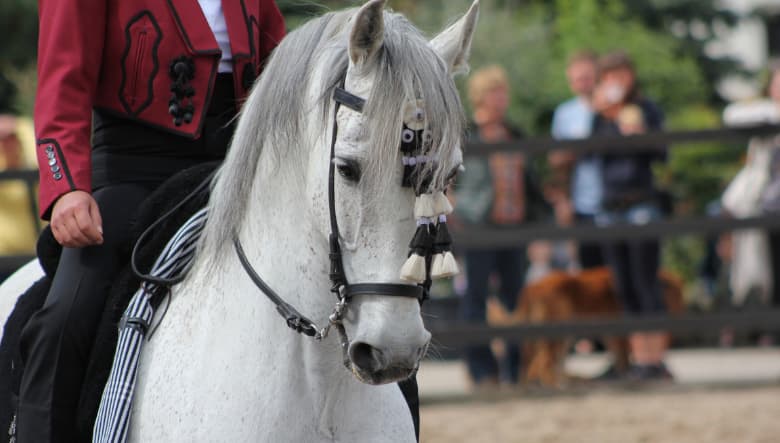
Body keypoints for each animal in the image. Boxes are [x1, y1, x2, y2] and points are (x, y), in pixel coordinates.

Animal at [488, 268, 684, 388]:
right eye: (677, 296)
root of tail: (532, 287)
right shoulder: (618, 333)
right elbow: (623, 358)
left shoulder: (612, 334)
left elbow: (621, 357)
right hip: (556, 335)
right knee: (545, 364)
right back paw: (557, 384)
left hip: (554, 337)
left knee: (530, 362)